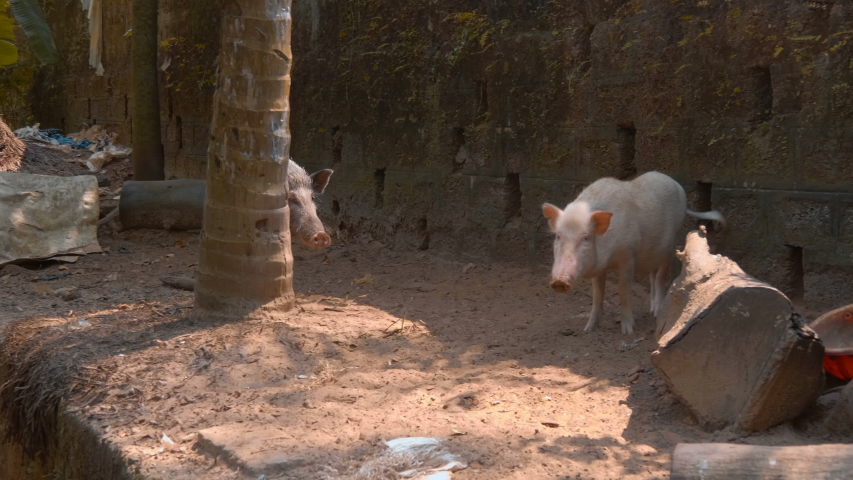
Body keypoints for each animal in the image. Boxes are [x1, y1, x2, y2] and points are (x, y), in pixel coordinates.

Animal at [542, 171, 725, 334]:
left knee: (661, 277)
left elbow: (624, 291)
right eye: (558, 236)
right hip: (654, 252)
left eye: (586, 238)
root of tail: (676, 184)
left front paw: (628, 332)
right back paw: (651, 310)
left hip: (670, 245)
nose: (559, 281)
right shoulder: (599, 267)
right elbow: (597, 296)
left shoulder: (628, 256)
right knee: (652, 275)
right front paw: (588, 330)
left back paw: (657, 312)